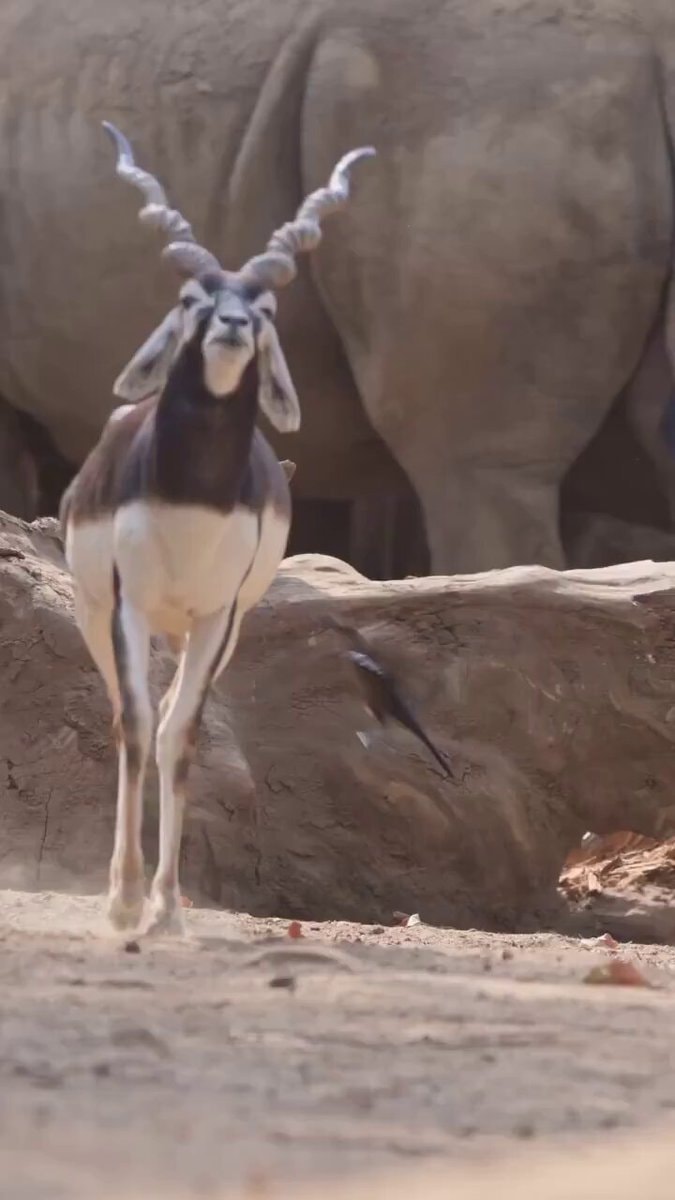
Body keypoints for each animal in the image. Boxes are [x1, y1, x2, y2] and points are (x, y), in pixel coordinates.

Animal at [61, 123, 374, 936]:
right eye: (190, 298)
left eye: (265, 308)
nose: (231, 327)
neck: (192, 501)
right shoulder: (129, 606)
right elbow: (139, 726)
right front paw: (126, 899)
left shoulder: (217, 616)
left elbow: (182, 735)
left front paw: (168, 905)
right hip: (97, 614)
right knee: (124, 718)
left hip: (207, 632)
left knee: (174, 719)